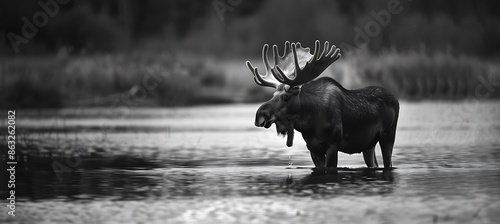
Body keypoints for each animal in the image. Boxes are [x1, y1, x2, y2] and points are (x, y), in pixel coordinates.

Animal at [246, 40, 398, 171]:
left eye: (285, 96)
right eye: (272, 95)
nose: (259, 116)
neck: (308, 123)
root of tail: (396, 100)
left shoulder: (332, 144)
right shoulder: (313, 149)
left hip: (388, 135)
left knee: (388, 162)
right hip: (368, 144)